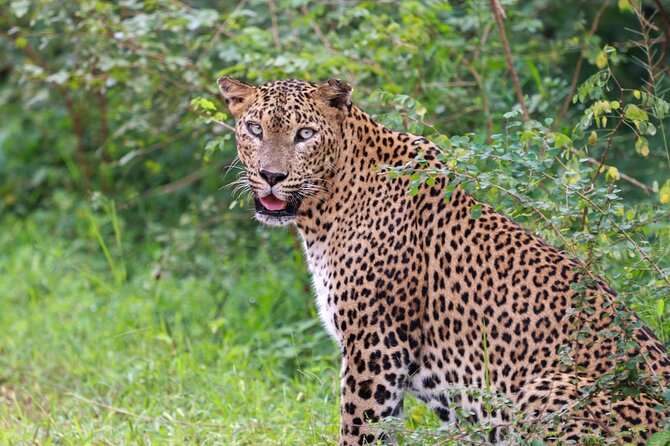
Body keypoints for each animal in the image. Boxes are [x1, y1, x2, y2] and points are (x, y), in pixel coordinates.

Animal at [217, 76, 670, 445]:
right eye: (255, 129)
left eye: (305, 134)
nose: (271, 176)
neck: (325, 206)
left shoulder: (377, 345)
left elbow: (358, 428)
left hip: (543, 392)